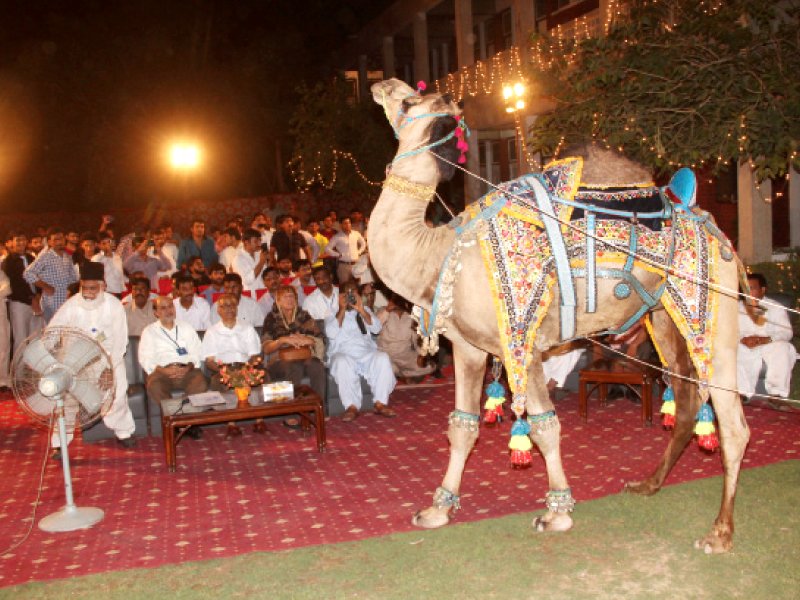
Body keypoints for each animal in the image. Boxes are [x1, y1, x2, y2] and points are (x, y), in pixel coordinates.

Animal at [368, 78, 752, 552]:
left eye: (408, 100)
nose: (380, 84)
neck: (438, 253)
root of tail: (721, 235)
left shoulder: (524, 342)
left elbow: (544, 427)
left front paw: (557, 513)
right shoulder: (469, 346)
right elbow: (462, 426)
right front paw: (437, 509)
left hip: (713, 308)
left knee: (732, 420)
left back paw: (719, 532)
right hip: (665, 315)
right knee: (687, 397)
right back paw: (648, 484)